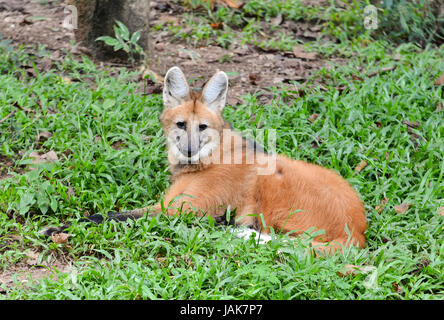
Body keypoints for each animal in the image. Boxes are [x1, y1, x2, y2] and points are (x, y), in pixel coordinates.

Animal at [45, 66, 366, 254]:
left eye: (202, 127)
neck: (208, 158)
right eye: (180, 125)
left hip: (275, 177)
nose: (188, 150)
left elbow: (110, 216)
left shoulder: (175, 210)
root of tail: (358, 230)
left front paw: (59, 228)